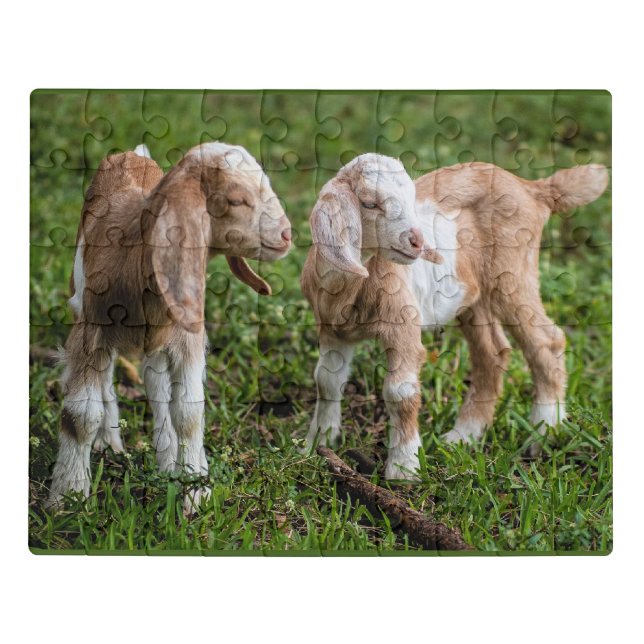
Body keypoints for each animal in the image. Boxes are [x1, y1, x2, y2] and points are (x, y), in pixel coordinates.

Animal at [47, 142, 291, 511]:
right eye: (236, 200)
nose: (287, 234)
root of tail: (131, 154)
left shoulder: (186, 336)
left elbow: (188, 415)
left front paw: (195, 492)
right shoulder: (92, 328)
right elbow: (80, 415)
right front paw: (68, 497)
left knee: (158, 389)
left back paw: (166, 465)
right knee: (108, 377)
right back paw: (109, 440)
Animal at [301, 154, 608, 479]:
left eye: (411, 198)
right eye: (369, 203)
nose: (417, 241)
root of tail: (532, 188)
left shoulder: (402, 324)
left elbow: (400, 392)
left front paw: (404, 468)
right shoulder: (332, 329)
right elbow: (326, 380)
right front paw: (316, 443)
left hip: (512, 276)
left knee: (546, 342)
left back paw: (543, 433)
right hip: (475, 298)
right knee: (492, 352)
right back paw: (464, 435)